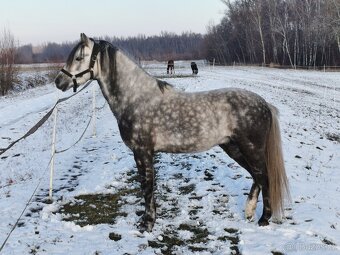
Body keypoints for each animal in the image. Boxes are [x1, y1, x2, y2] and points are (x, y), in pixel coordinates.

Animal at [55, 32, 290, 232]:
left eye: (79, 57)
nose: (59, 81)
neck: (136, 98)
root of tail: (264, 104)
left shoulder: (142, 152)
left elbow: (147, 186)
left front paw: (147, 223)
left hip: (251, 148)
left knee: (264, 177)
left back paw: (264, 219)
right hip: (233, 147)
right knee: (256, 176)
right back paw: (249, 211)